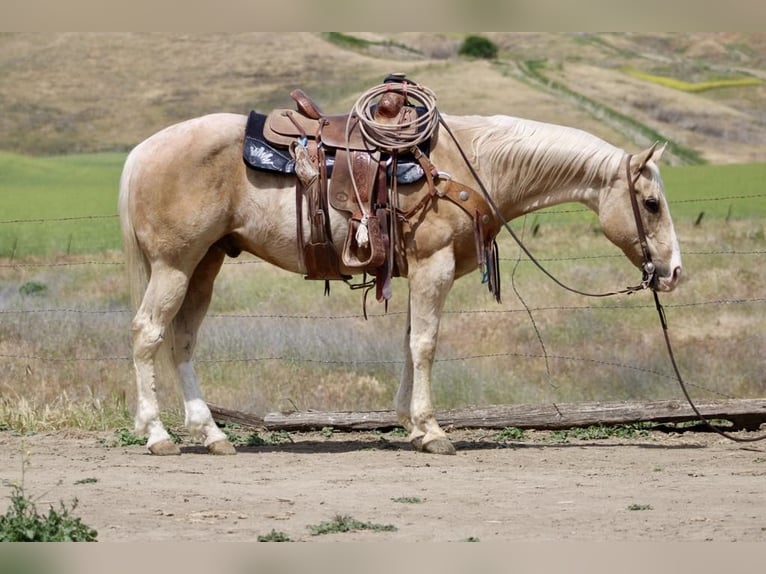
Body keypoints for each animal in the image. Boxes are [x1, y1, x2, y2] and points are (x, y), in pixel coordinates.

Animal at [118, 110, 682, 456]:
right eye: (652, 203)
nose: (674, 272)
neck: (472, 165)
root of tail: (142, 151)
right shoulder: (435, 267)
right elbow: (426, 343)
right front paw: (432, 431)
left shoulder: (418, 273)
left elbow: (411, 342)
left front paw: (410, 424)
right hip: (174, 265)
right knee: (147, 334)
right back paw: (157, 434)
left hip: (204, 265)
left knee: (181, 340)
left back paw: (211, 434)